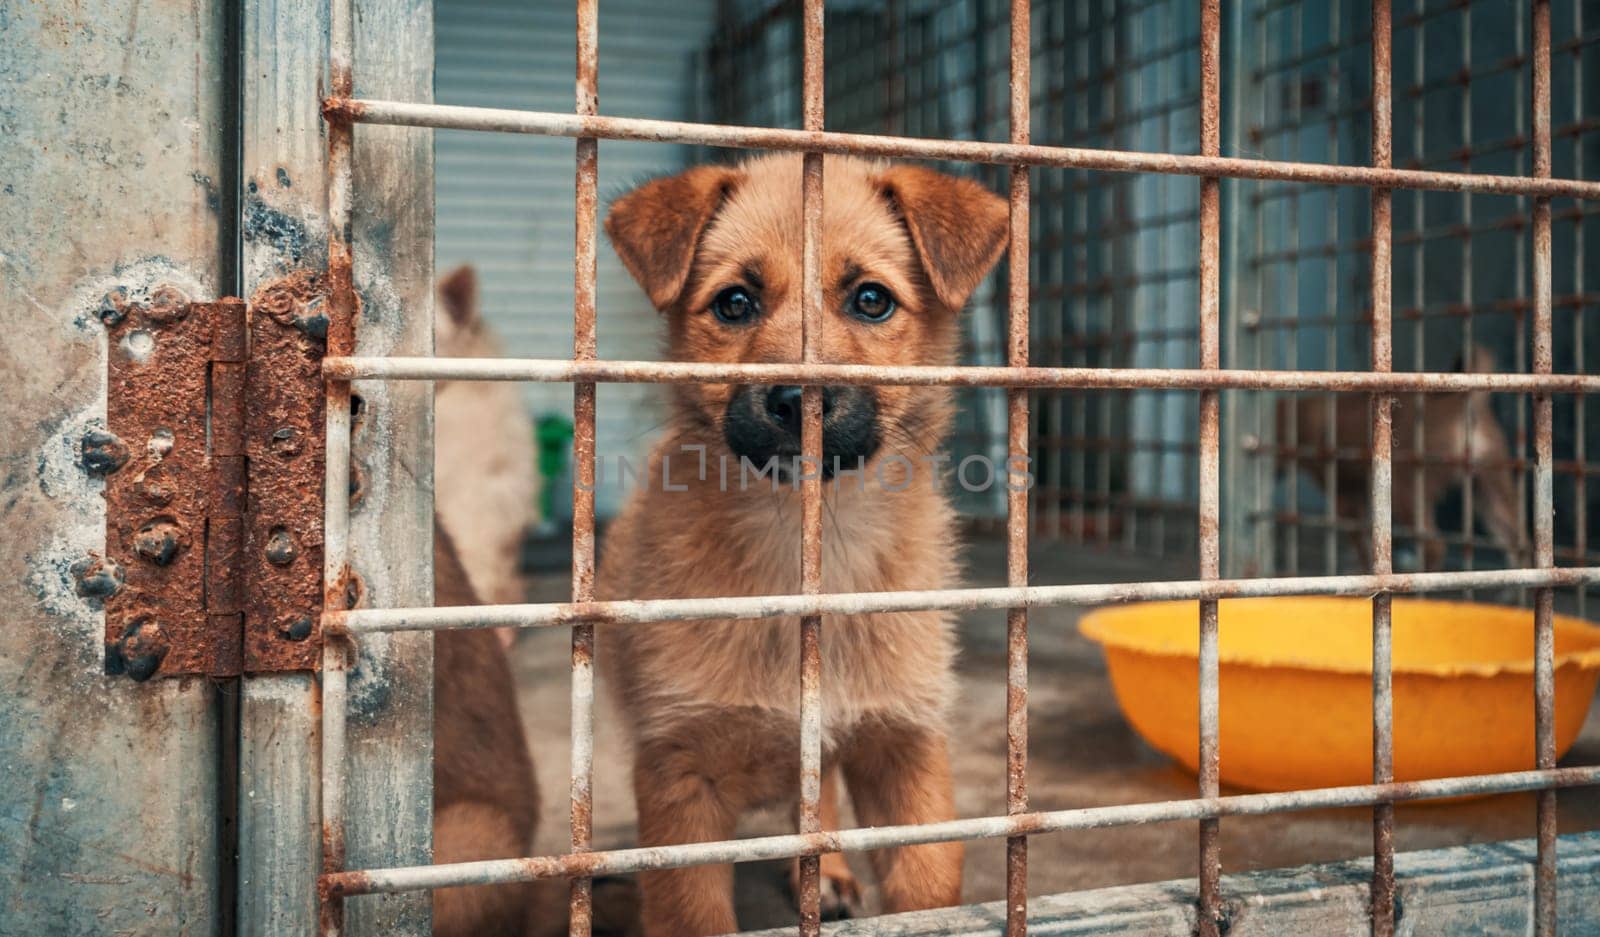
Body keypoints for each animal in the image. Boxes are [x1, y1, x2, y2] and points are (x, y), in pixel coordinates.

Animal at [601, 155, 998, 933]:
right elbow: (691, 910)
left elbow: (931, 881)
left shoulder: (905, 742)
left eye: (871, 299)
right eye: (734, 303)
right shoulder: (678, 766)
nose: (796, 400)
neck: (805, 547)